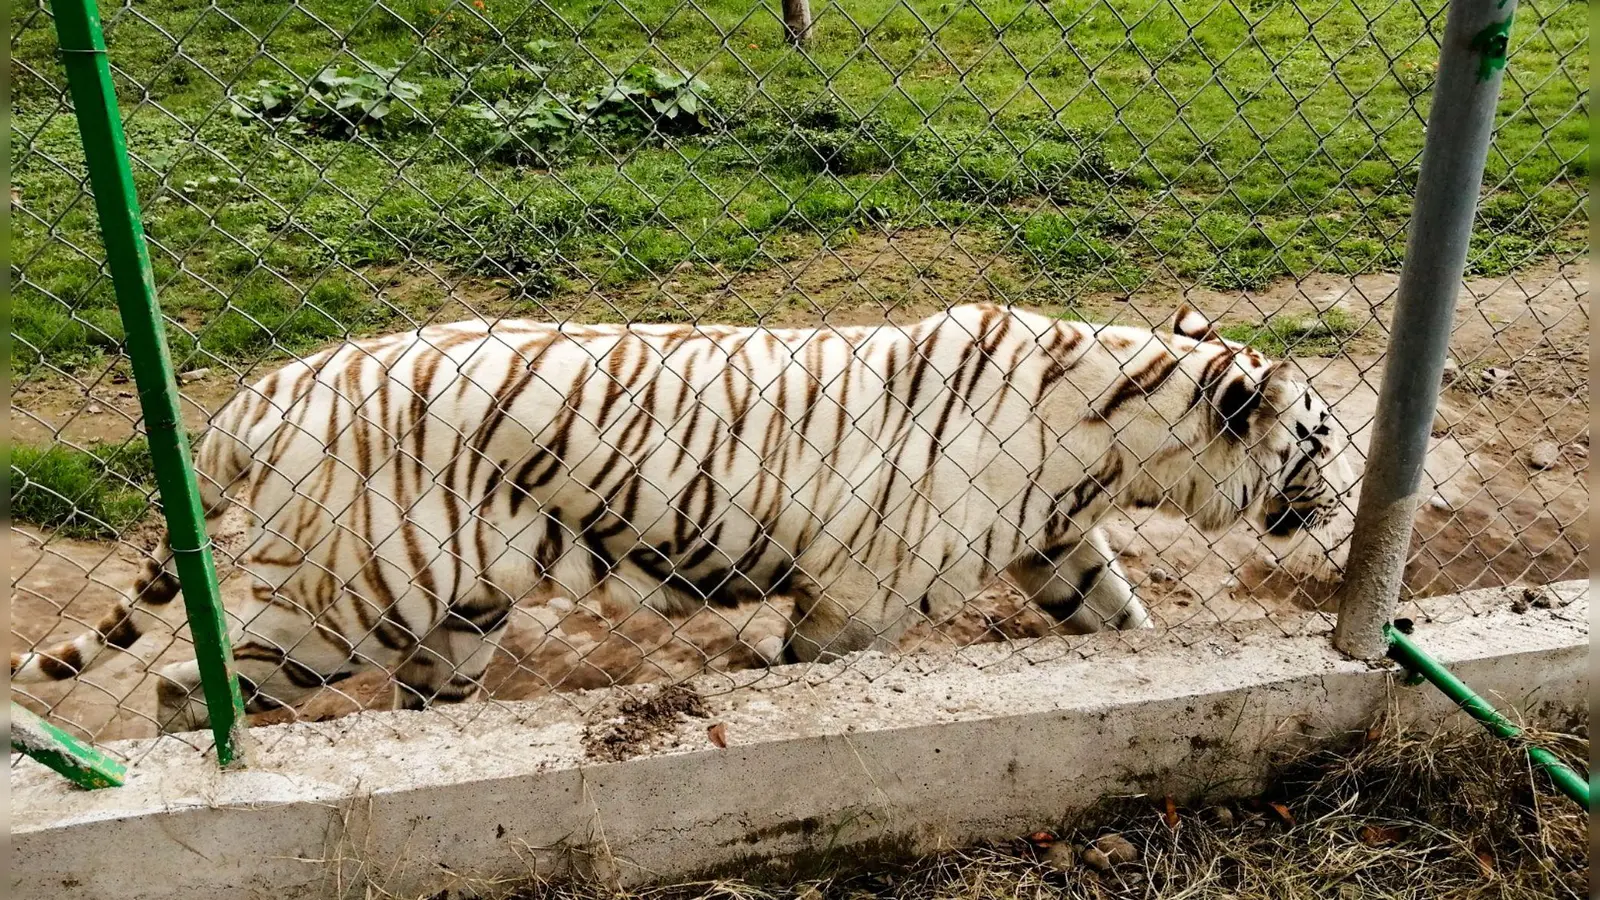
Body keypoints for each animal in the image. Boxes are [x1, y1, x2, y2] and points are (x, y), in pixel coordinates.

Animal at [12, 302, 1356, 733]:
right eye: (1322, 437)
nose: (1345, 499)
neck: (1115, 439)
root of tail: (267, 387)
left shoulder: (1056, 542)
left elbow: (1119, 622)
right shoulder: (858, 599)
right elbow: (812, 669)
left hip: (457, 611)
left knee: (414, 700)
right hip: (349, 597)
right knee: (187, 687)